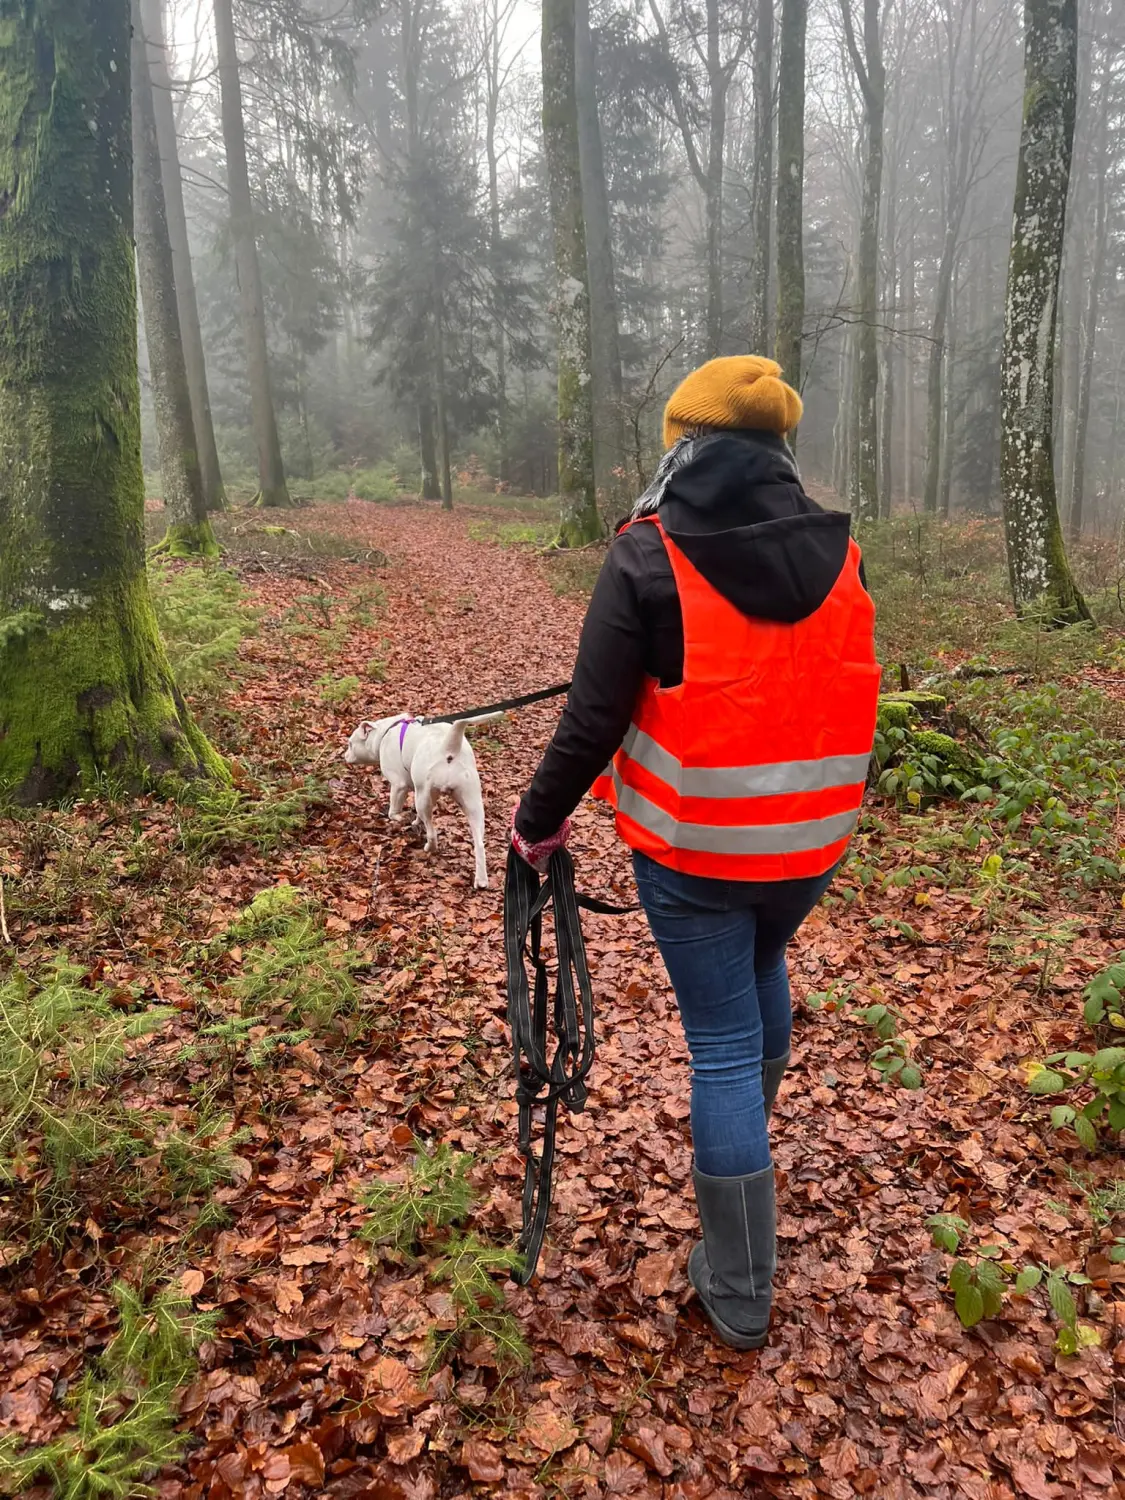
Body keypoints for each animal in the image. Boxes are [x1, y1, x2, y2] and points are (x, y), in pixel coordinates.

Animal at [346, 711, 501, 882]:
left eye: (350, 744)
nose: (344, 756)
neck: (384, 732)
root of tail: (448, 748)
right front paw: (414, 821)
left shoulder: (399, 785)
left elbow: (393, 812)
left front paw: (401, 818)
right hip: (472, 803)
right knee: (479, 844)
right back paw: (481, 880)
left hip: (425, 800)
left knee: (432, 832)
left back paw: (429, 847)